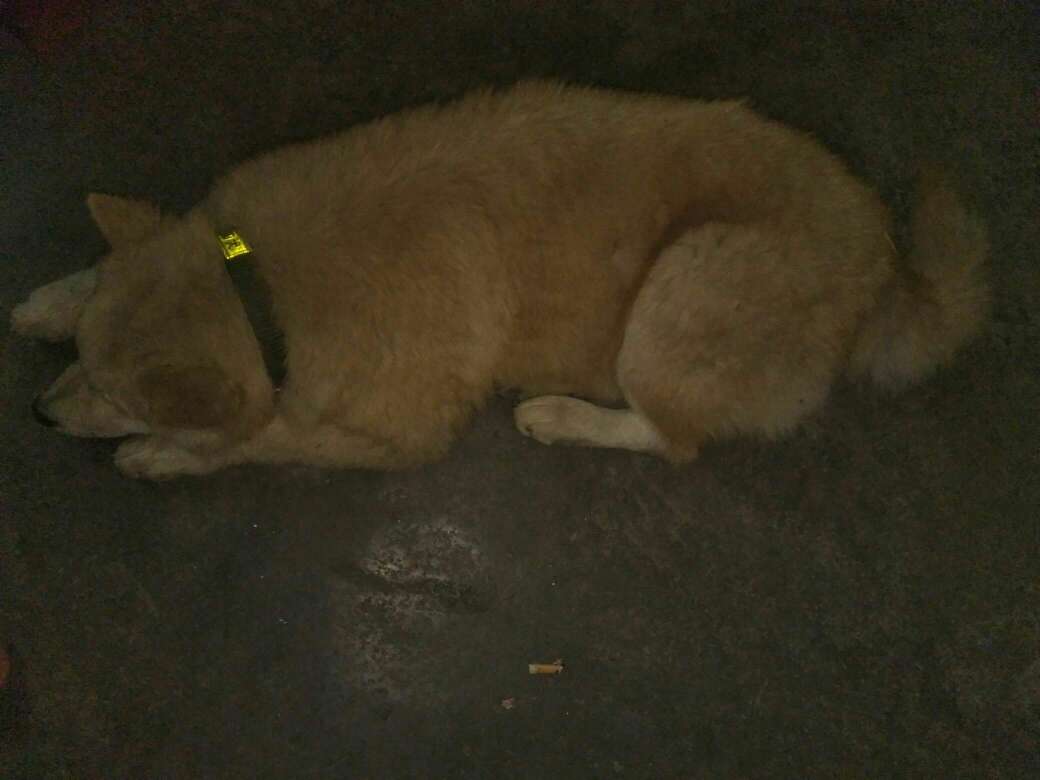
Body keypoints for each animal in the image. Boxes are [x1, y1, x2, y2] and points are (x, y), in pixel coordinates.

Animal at [11, 81, 989, 479]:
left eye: (116, 397)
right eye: (83, 362)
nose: (40, 416)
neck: (258, 291)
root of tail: (887, 264)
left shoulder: (391, 431)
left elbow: (266, 438)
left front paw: (165, 454)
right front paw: (53, 299)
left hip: (684, 285)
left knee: (671, 438)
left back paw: (562, 415)